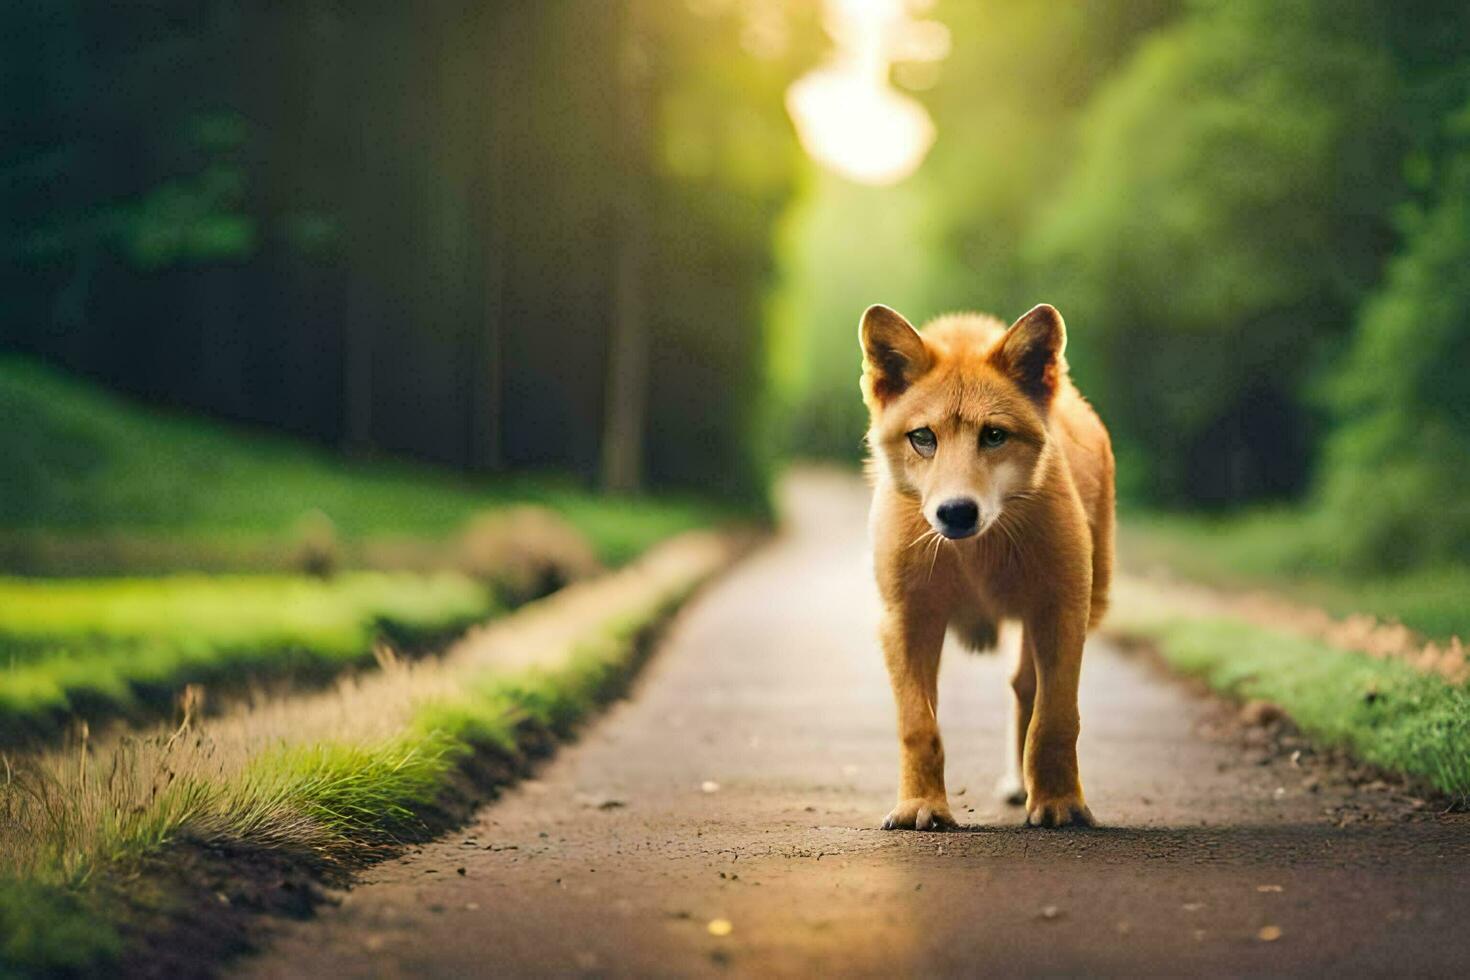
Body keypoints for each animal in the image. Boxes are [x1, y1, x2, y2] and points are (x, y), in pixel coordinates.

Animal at [858, 304, 1111, 828]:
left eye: (994, 435)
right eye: (923, 438)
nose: (956, 512)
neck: (975, 558)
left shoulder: (1061, 611)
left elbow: (1055, 721)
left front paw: (1059, 804)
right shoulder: (906, 620)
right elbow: (919, 727)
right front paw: (920, 807)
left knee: (1025, 690)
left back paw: (1026, 787)